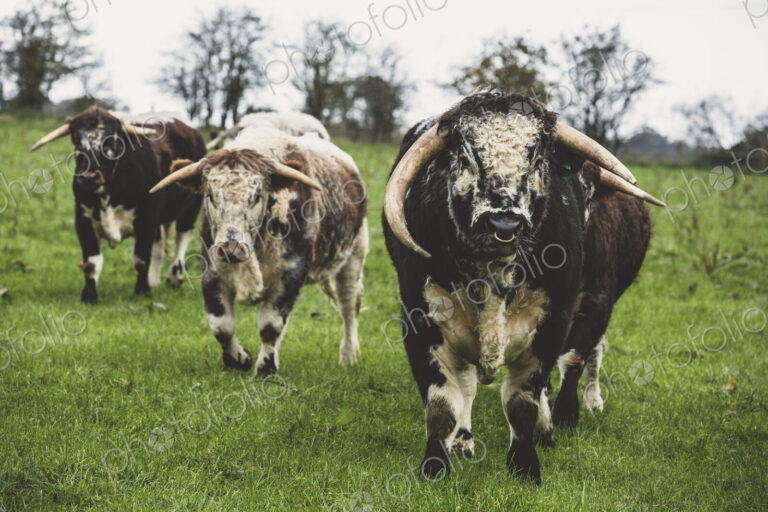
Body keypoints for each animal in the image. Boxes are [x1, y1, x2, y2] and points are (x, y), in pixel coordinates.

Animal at [30, 106, 207, 303]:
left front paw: (142, 292)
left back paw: (174, 277)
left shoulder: (147, 219)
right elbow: (91, 263)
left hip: (190, 208)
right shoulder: (83, 220)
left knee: (182, 237)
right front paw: (89, 296)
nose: (89, 177)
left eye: (111, 142)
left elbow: (141, 258)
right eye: (76, 141)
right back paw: (154, 281)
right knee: (158, 247)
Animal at [150, 125, 368, 375]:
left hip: (354, 257)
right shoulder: (212, 273)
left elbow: (270, 325)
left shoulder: (291, 275)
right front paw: (239, 359)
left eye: (256, 196)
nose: (231, 249)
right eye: (210, 195)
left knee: (349, 306)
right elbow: (222, 326)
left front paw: (265, 368)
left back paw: (348, 355)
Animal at [381, 91, 663, 484]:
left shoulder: (563, 317)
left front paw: (529, 459)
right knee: (466, 385)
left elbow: (527, 397)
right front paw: (436, 465)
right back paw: (464, 440)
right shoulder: (420, 320)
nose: (504, 223)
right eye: (466, 158)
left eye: (537, 159)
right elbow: (442, 404)